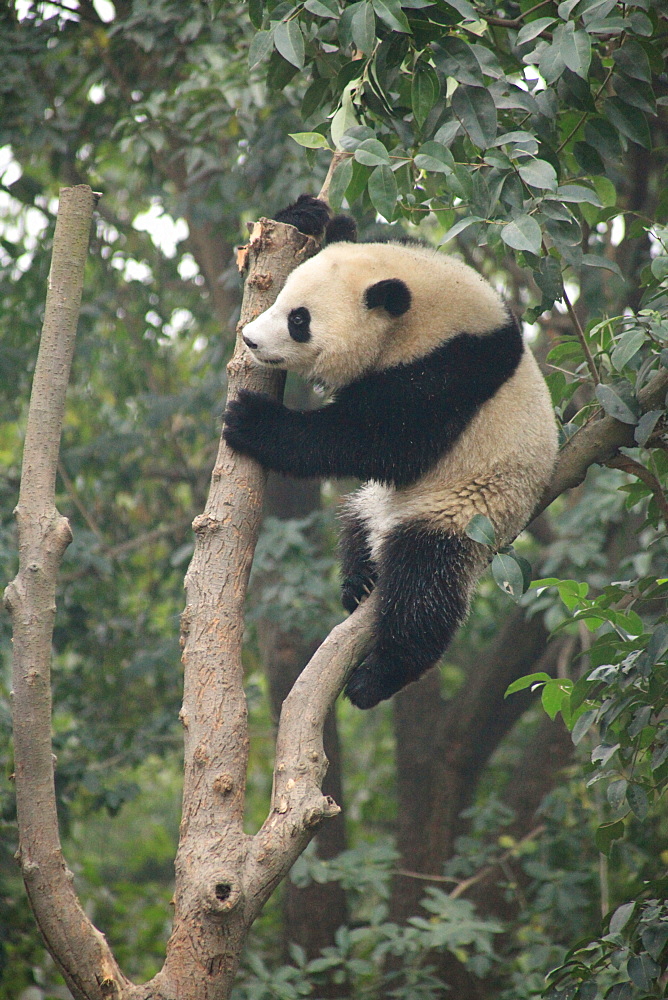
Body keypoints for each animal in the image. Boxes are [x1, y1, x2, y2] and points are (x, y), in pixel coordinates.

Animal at [224, 197, 560, 712]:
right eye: (280, 296)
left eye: (299, 320)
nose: (251, 340)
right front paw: (306, 215)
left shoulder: (448, 375)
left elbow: (378, 442)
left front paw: (252, 421)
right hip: (378, 503)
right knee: (355, 523)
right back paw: (358, 579)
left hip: (465, 508)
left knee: (423, 587)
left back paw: (376, 678)